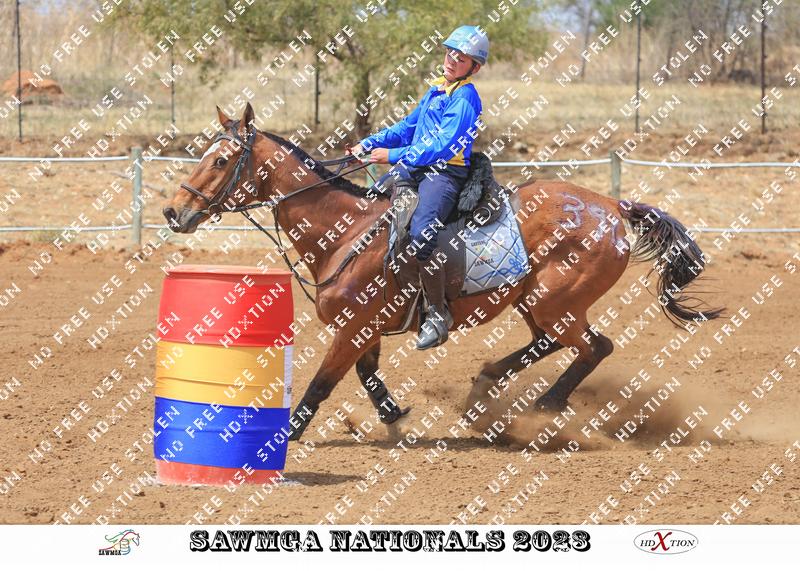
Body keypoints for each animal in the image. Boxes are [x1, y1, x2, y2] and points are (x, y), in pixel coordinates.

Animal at [163, 103, 723, 442]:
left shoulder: (352, 327)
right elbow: (368, 377)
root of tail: (611, 206)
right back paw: (483, 393)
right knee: (552, 345)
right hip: (535, 302)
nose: (173, 212)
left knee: (593, 348)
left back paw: (540, 407)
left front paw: (284, 438)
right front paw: (393, 420)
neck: (346, 233)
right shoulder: (367, 329)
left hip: (555, 302)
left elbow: (323, 384)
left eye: (220, 161)